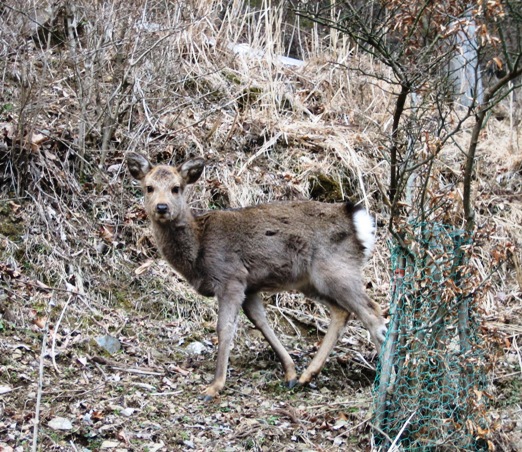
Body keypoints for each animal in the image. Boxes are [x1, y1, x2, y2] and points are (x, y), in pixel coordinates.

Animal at [127, 152, 386, 400]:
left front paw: (214, 387)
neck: (198, 252)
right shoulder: (250, 286)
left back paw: (384, 381)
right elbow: (261, 322)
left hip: (336, 269)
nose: (162, 207)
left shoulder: (230, 278)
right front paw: (290, 373)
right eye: (148, 187)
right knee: (342, 311)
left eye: (176, 187)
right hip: (312, 281)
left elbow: (224, 328)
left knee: (373, 312)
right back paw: (307, 375)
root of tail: (359, 222)